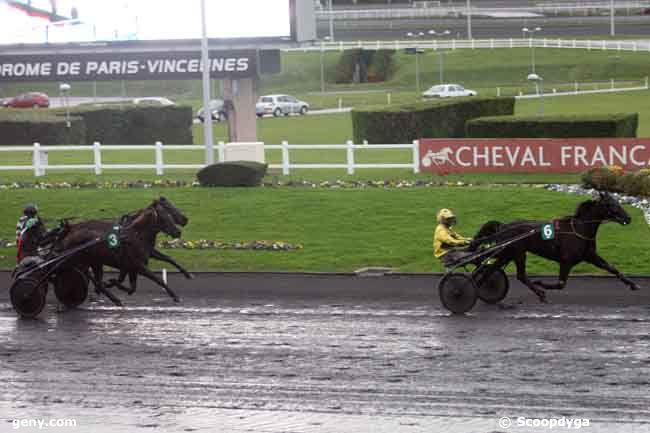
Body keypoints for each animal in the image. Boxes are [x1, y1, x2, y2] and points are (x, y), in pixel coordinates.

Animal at [466, 191, 636, 302]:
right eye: (611, 204)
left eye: (618, 202)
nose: (628, 218)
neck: (579, 229)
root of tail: (503, 226)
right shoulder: (566, 261)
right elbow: (561, 284)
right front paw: (541, 283)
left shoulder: (590, 256)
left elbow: (611, 268)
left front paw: (632, 284)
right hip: (515, 252)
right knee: (507, 272)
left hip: (508, 253)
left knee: (492, 270)